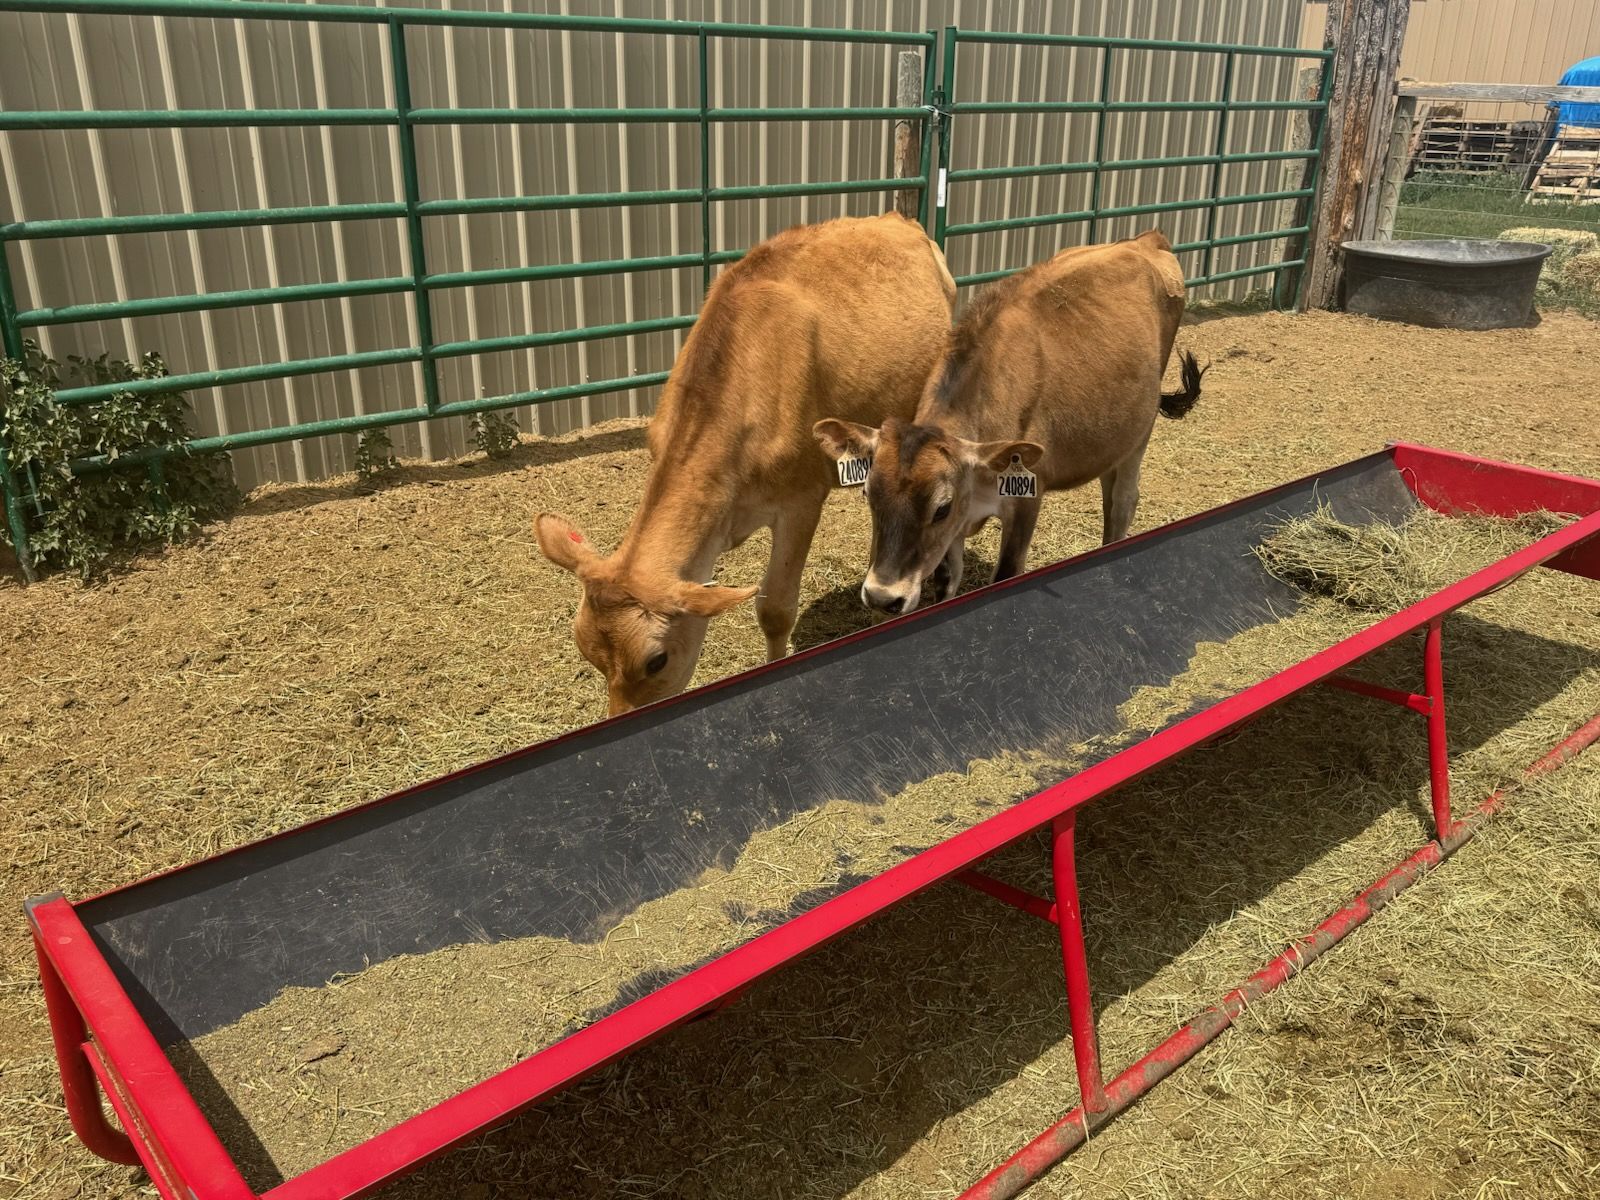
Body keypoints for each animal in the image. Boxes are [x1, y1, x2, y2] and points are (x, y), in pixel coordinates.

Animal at [813, 229, 1205, 617]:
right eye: (867, 494)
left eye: (941, 508)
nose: (882, 598)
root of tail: (1146, 239)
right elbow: (946, 579)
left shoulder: (1025, 500)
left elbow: (1005, 575)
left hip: (1141, 430)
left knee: (1124, 499)